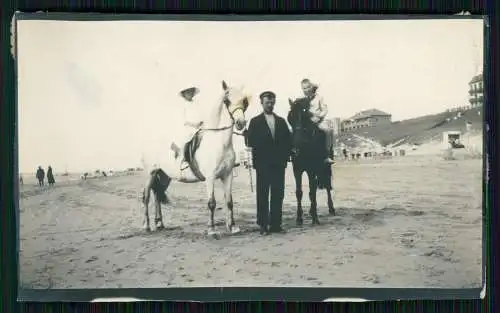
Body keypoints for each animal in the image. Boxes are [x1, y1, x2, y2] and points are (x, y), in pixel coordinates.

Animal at [141, 80, 250, 234]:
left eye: (244, 101)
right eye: (226, 101)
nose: (241, 123)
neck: (219, 143)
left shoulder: (227, 175)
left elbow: (229, 201)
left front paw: (233, 227)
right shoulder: (210, 178)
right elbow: (211, 203)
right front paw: (211, 229)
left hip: (163, 176)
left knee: (157, 195)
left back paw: (160, 223)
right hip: (150, 174)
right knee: (146, 197)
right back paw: (147, 226)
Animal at [288, 96, 334, 225]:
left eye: (304, 117)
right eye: (290, 118)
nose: (295, 149)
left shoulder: (311, 170)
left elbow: (312, 192)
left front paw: (315, 218)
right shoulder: (297, 170)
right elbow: (299, 192)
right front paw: (299, 218)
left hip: (326, 168)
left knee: (327, 185)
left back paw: (331, 208)